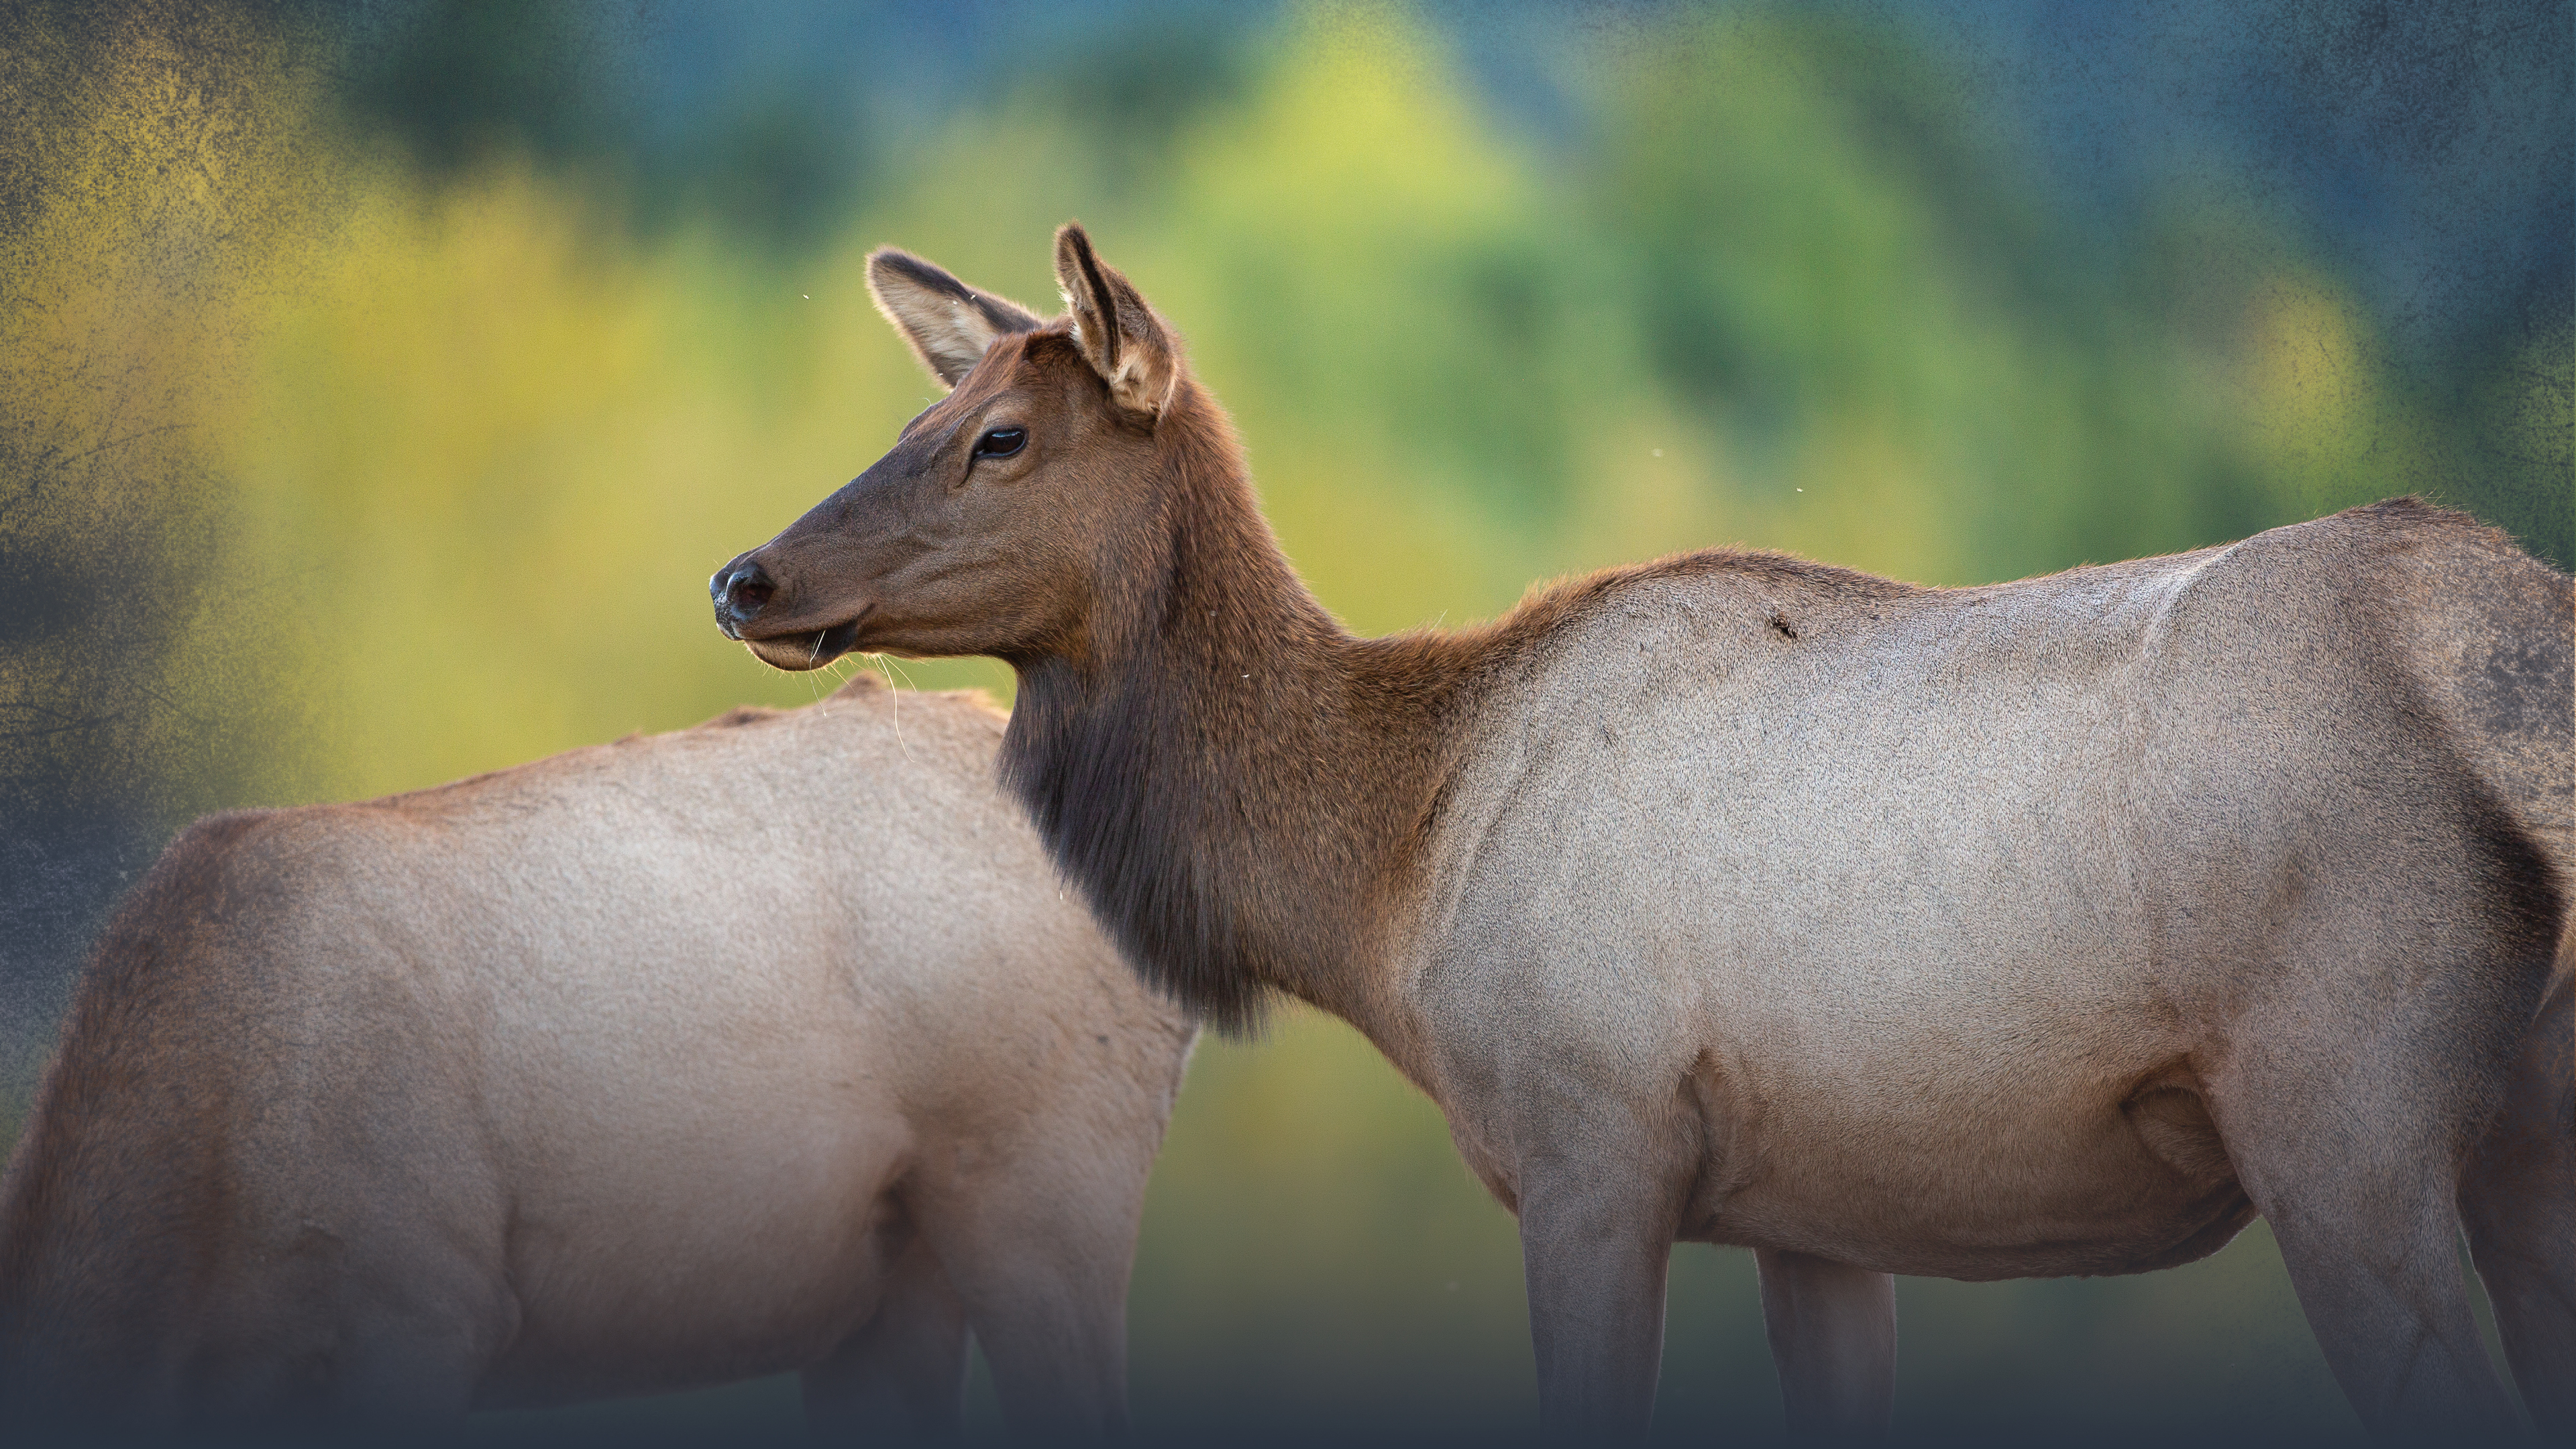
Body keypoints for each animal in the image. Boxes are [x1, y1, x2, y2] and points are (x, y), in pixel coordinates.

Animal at [709, 224, 2574, 1441]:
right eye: (907, 420)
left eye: (999, 437)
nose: (747, 576)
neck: (1385, 875)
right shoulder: (1819, 1209)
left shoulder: (1587, 1136)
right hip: (2511, 1139)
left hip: (2339, 1104)